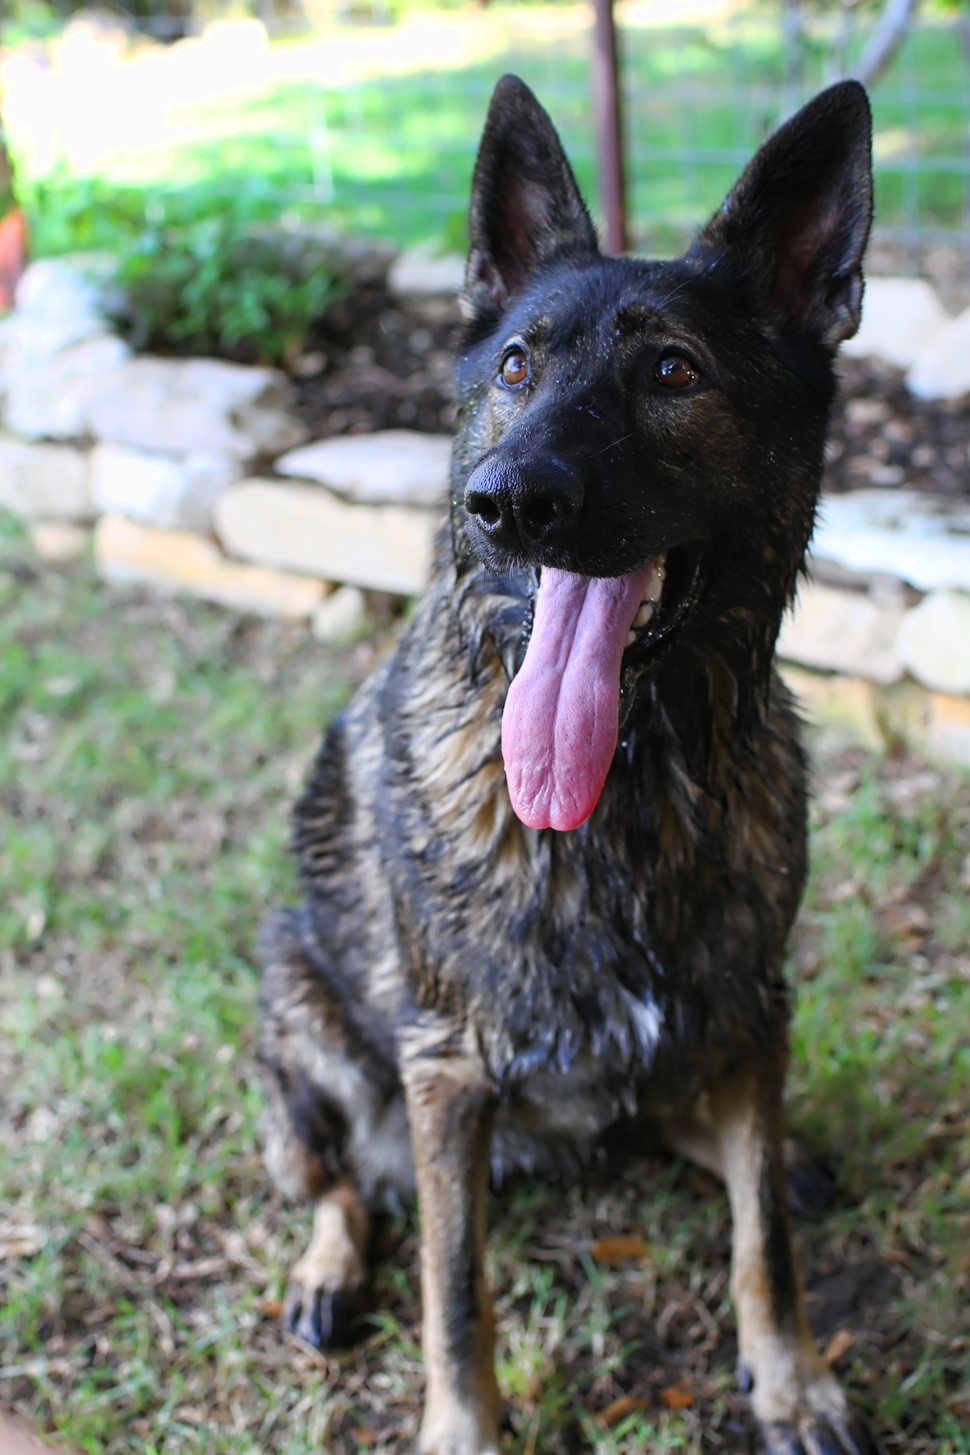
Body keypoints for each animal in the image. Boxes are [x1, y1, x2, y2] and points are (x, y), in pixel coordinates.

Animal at [257, 75, 874, 1455]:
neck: (626, 787)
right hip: (298, 1014)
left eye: (672, 370)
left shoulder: (757, 1006)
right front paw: (462, 1431)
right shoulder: (445, 1073)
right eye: (514, 367)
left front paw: (792, 1379)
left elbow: (763, 1238)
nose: (504, 499)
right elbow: (454, 1287)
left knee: (718, 1136)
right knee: (337, 1176)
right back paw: (324, 1270)